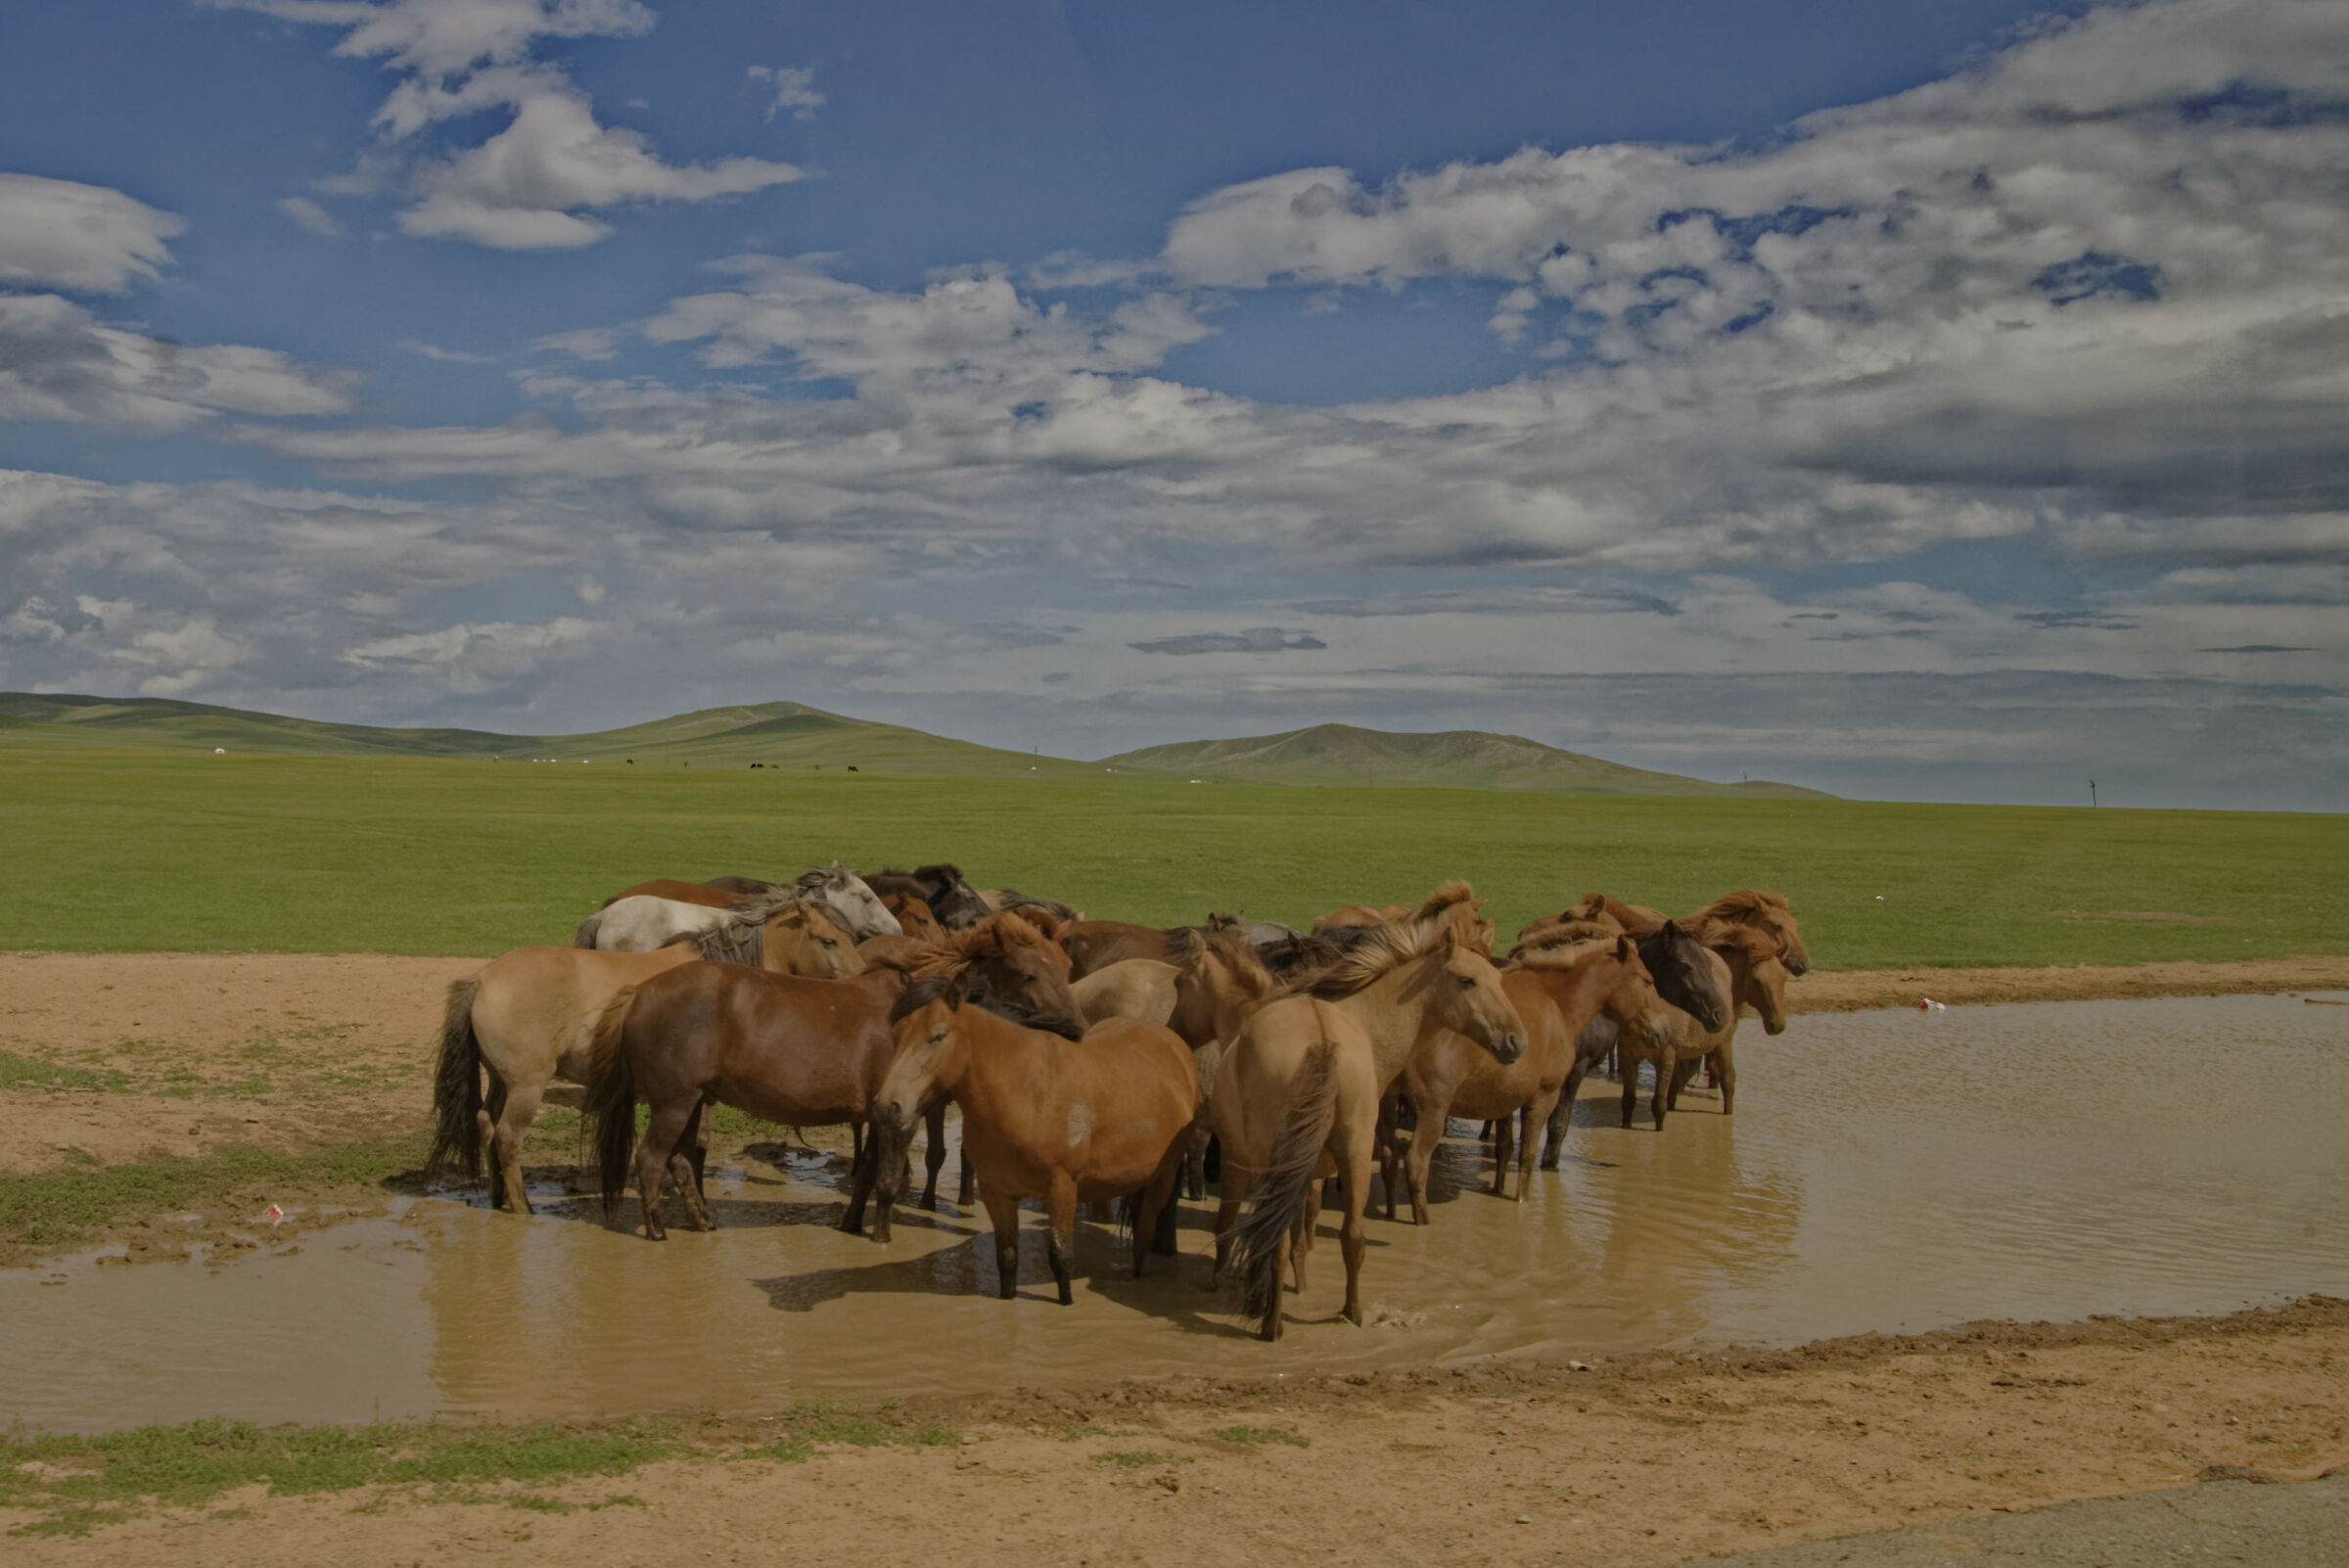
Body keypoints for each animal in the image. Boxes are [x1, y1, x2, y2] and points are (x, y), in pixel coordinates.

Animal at [426, 898, 863, 1214]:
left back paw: (499, 1197)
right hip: (526, 1087)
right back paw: (521, 1207)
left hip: (501, 1082)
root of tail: (482, 978)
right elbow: (697, 1146)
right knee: (507, 1138)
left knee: (486, 1126)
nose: (859, 981)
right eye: (828, 940)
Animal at [584, 914, 1086, 1242]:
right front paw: (881, 1236)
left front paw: (852, 1224)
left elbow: (865, 1175)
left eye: (1066, 966)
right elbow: (886, 1178)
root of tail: (640, 992)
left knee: (681, 1163)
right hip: (675, 1103)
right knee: (651, 1160)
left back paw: (702, 1221)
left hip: (691, 1102)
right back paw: (657, 1230)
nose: (1078, 1030)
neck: (916, 1011)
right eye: (1027, 973)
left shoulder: (876, 1115)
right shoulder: (898, 1116)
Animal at [870, 974, 1196, 1303]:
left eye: (937, 1036)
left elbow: (1062, 1260)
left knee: (1143, 1237)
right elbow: (1007, 1258)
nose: (887, 1106)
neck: (1029, 1093)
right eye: (896, 1034)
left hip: (1163, 1179)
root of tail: (1173, 1044)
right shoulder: (997, 1192)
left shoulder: (1062, 1190)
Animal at [1211, 882, 1526, 1340]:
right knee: (1351, 1238)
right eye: (1467, 980)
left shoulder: (1268, 1169)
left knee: (1288, 1239)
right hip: (1355, 1159)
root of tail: (1322, 1038)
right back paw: (1350, 1312)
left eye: (1497, 978)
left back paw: (1273, 1325)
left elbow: (1253, 1229)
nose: (1516, 1040)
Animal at [1387, 928, 1676, 1223]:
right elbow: (1527, 1156)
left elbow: (1504, 1148)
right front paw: (1521, 1202)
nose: (1665, 1030)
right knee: (1415, 1162)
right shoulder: (1543, 1097)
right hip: (1432, 1109)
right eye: (1648, 981)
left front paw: (1498, 1189)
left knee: (1388, 1159)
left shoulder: (1504, 1097)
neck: (1555, 1002)